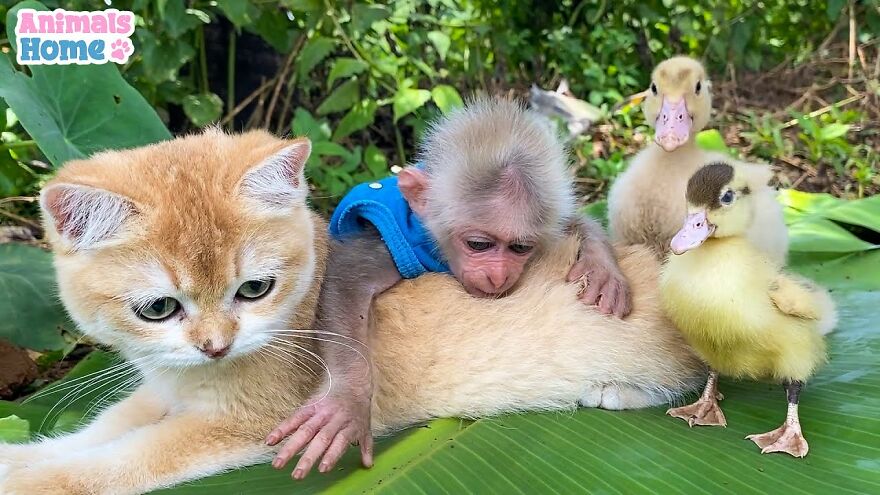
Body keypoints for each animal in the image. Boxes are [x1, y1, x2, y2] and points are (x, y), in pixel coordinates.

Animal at [264, 98, 632, 479]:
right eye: (479, 245)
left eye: (519, 248)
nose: (499, 275)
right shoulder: (396, 244)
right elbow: (345, 279)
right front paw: (348, 400)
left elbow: (570, 220)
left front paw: (601, 265)